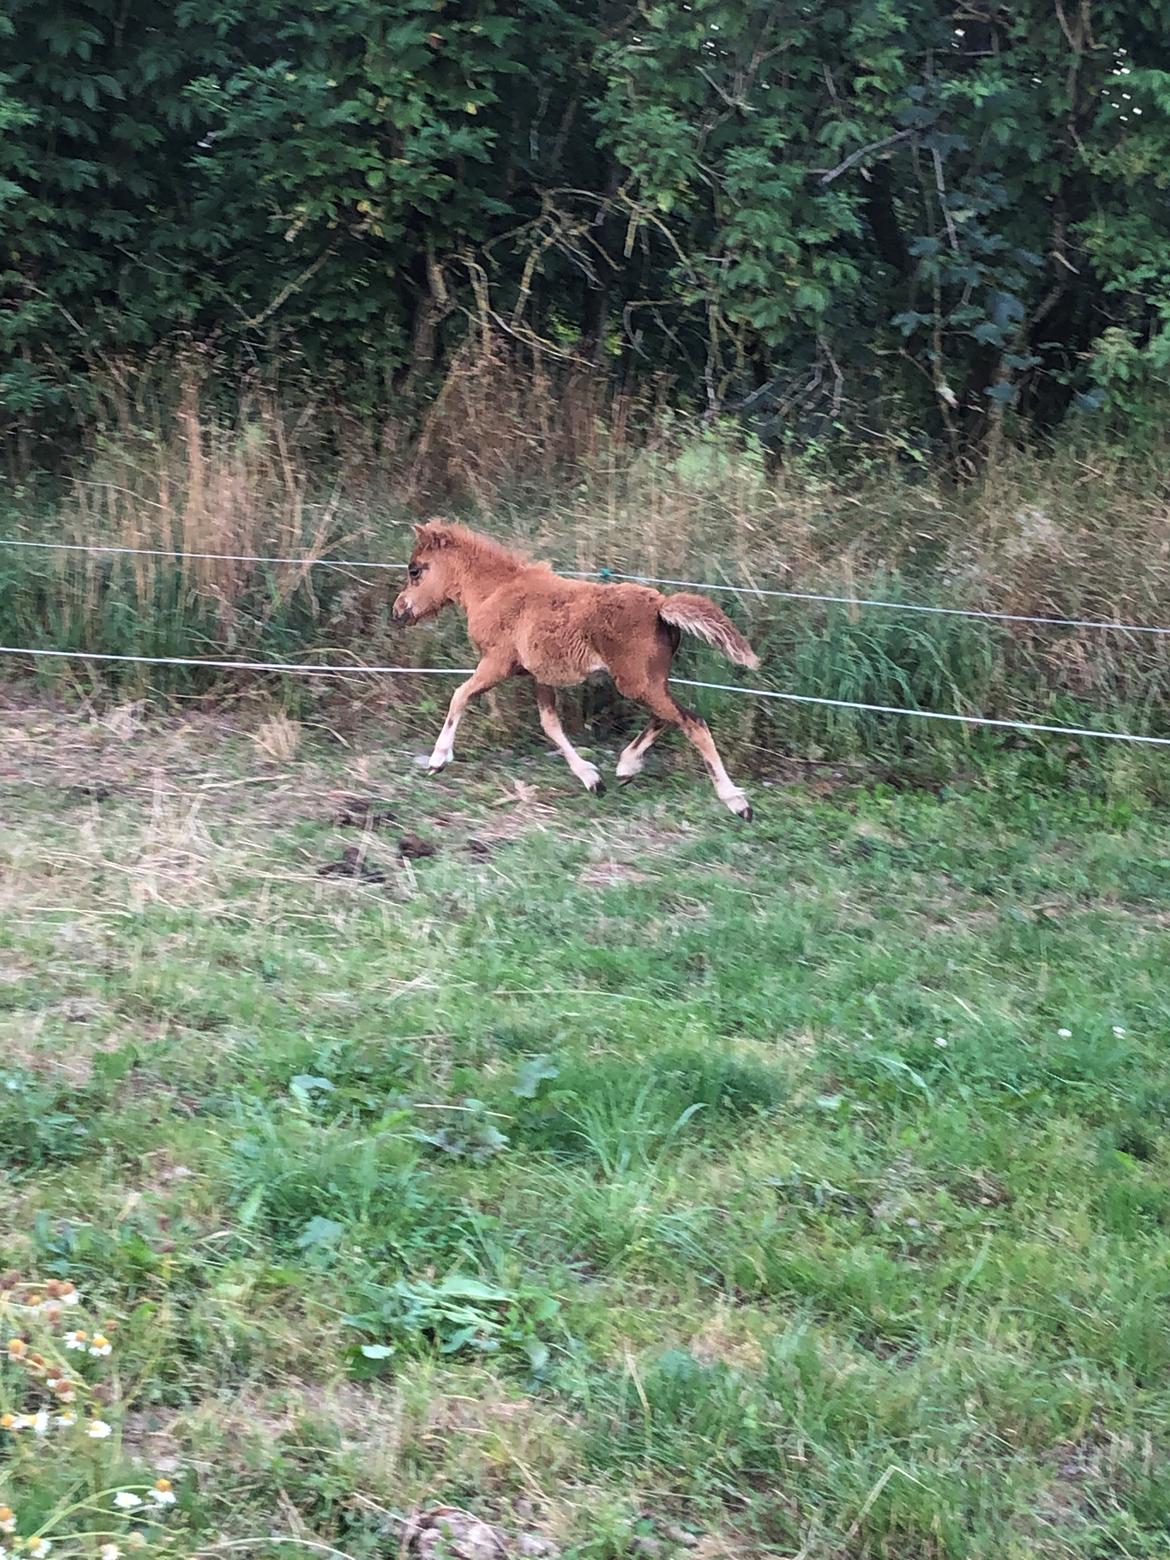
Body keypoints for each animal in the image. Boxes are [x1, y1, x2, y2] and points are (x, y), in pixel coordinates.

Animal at [390, 521, 764, 823]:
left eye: (415, 570)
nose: (397, 613)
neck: (495, 591)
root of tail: (661, 606)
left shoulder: (497, 663)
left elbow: (460, 696)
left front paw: (438, 759)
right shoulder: (539, 676)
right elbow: (551, 725)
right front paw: (591, 778)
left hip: (637, 683)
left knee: (692, 723)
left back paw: (737, 803)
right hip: (648, 682)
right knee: (666, 717)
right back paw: (626, 767)